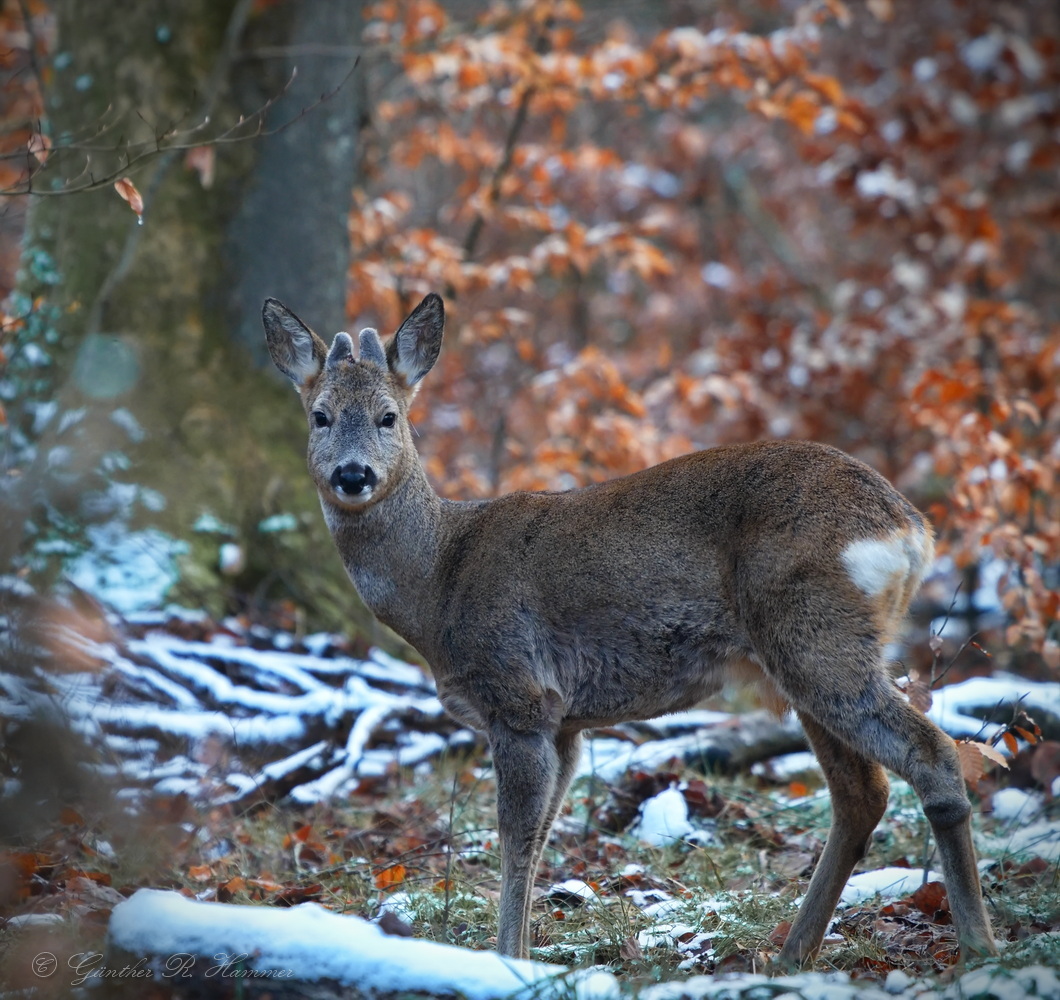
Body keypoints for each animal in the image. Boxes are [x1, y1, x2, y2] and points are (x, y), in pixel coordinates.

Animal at [262, 292, 992, 967]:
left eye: (389, 416)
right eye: (320, 415)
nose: (352, 475)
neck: (440, 580)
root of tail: (910, 529)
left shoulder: (519, 696)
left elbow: (515, 841)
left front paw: (507, 961)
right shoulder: (566, 722)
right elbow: (543, 837)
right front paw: (522, 952)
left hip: (816, 632)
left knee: (930, 753)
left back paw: (978, 945)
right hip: (804, 654)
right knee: (861, 793)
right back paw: (792, 954)